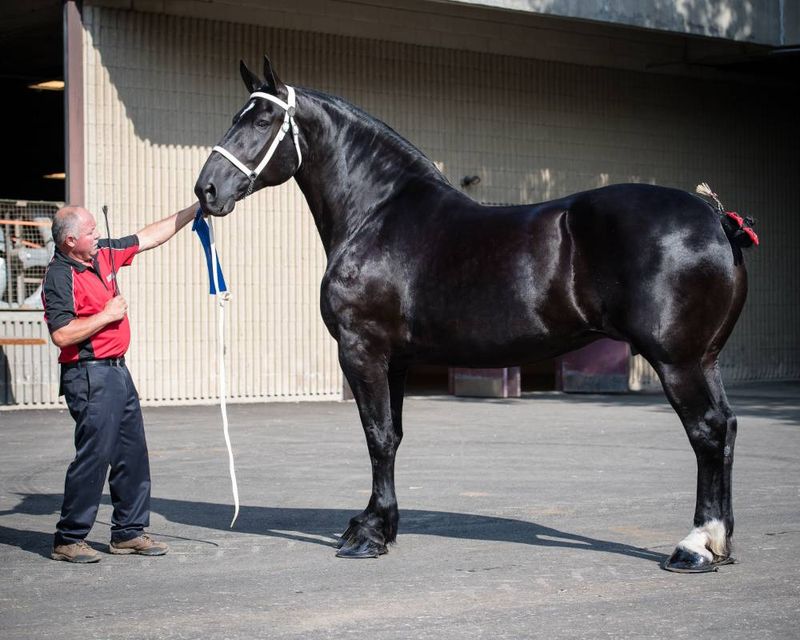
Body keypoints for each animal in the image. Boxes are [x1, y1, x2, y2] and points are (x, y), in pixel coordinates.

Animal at [195, 57, 756, 572]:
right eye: (239, 116)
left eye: (262, 121)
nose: (207, 191)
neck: (378, 213)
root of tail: (716, 219)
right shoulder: (396, 360)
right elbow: (393, 435)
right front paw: (382, 525)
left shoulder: (362, 349)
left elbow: (376, 436)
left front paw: (367, 536)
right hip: (704, 358)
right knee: (727, 428)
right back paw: (720, 544)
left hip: (676, 360)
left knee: (706, 430)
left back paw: (694, 547)